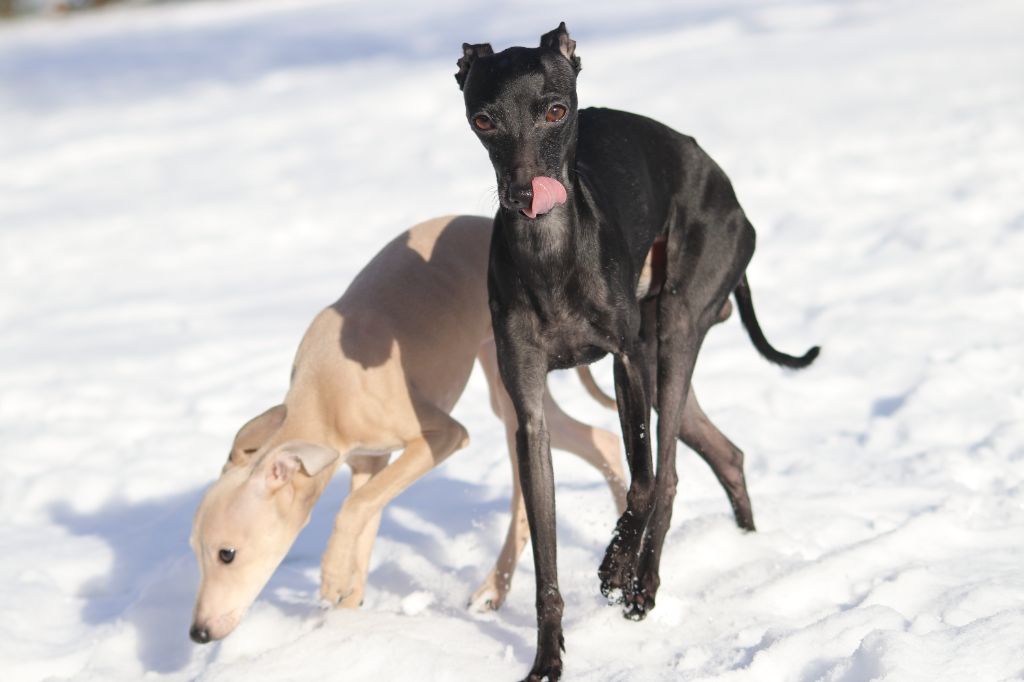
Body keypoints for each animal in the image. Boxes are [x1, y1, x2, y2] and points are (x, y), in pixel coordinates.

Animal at [456, 23, 815, 675]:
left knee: (669, 472)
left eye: (556, 110)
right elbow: (545, 556)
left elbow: (643, 483)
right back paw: (745, 546)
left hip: (673, 326)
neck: (551, 253)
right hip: (657, 349)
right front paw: (547, 659)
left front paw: (615, 568)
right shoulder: (530, 413)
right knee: (727, 453)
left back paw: (643, 586)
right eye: (484, 119)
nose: (523, 193)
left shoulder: (623, 364)